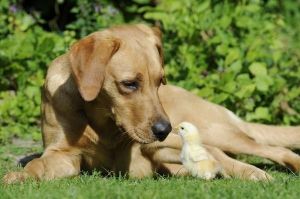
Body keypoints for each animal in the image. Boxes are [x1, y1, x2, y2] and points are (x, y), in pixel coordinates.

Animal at [2, 24, 300, 184]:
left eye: (159, 82)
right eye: (129, 84)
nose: (164, 129)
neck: (102, 121)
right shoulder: (62, 154)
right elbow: (37, 164)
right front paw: (19, 176)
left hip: (210, 133)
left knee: (270, 150)